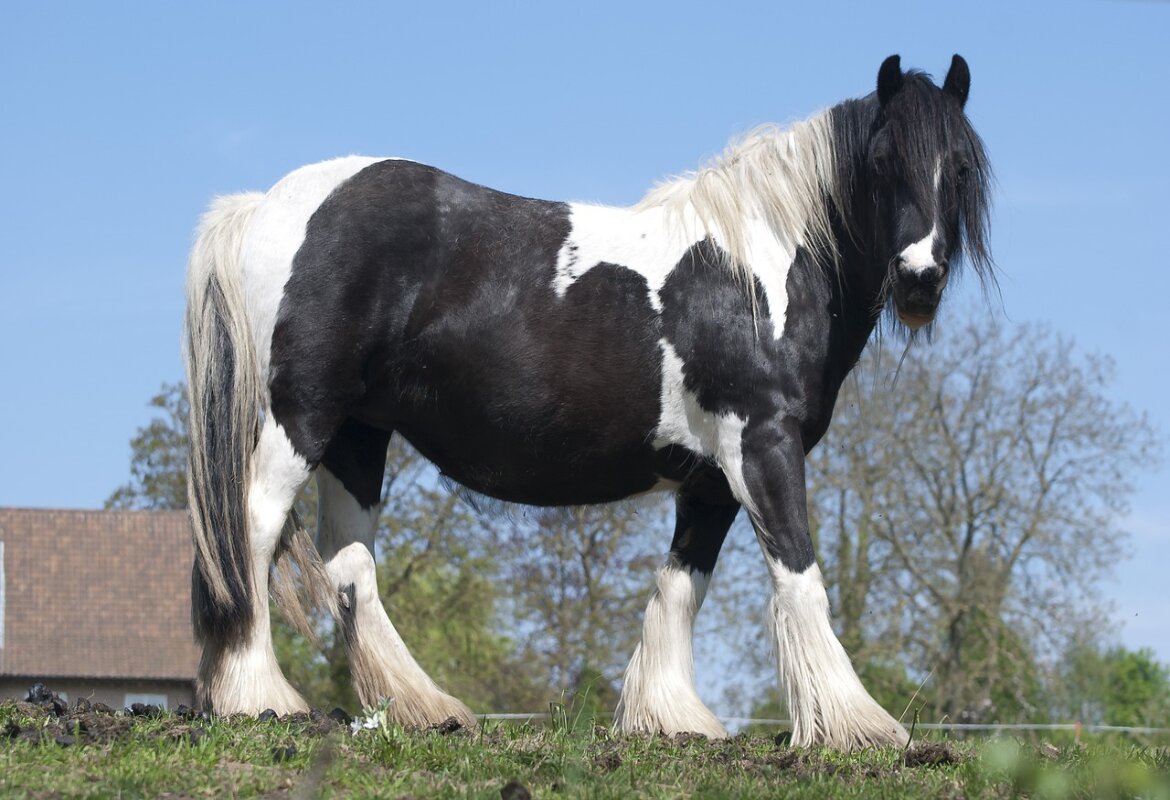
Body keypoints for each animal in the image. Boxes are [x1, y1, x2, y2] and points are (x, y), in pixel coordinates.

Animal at [182, 56, 987, 748]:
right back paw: (257, 697)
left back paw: (424, 709)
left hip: (357, 434)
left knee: (349, 565)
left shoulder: (709, 479)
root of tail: (267, 206)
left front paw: (670, 718)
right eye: (882, 164)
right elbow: (799, 574)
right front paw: (859, 727)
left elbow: (680, 585)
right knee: (251, 532)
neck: (755, 273)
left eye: (961, 168)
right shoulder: (763, 444)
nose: (920, 279)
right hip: (302, 417)